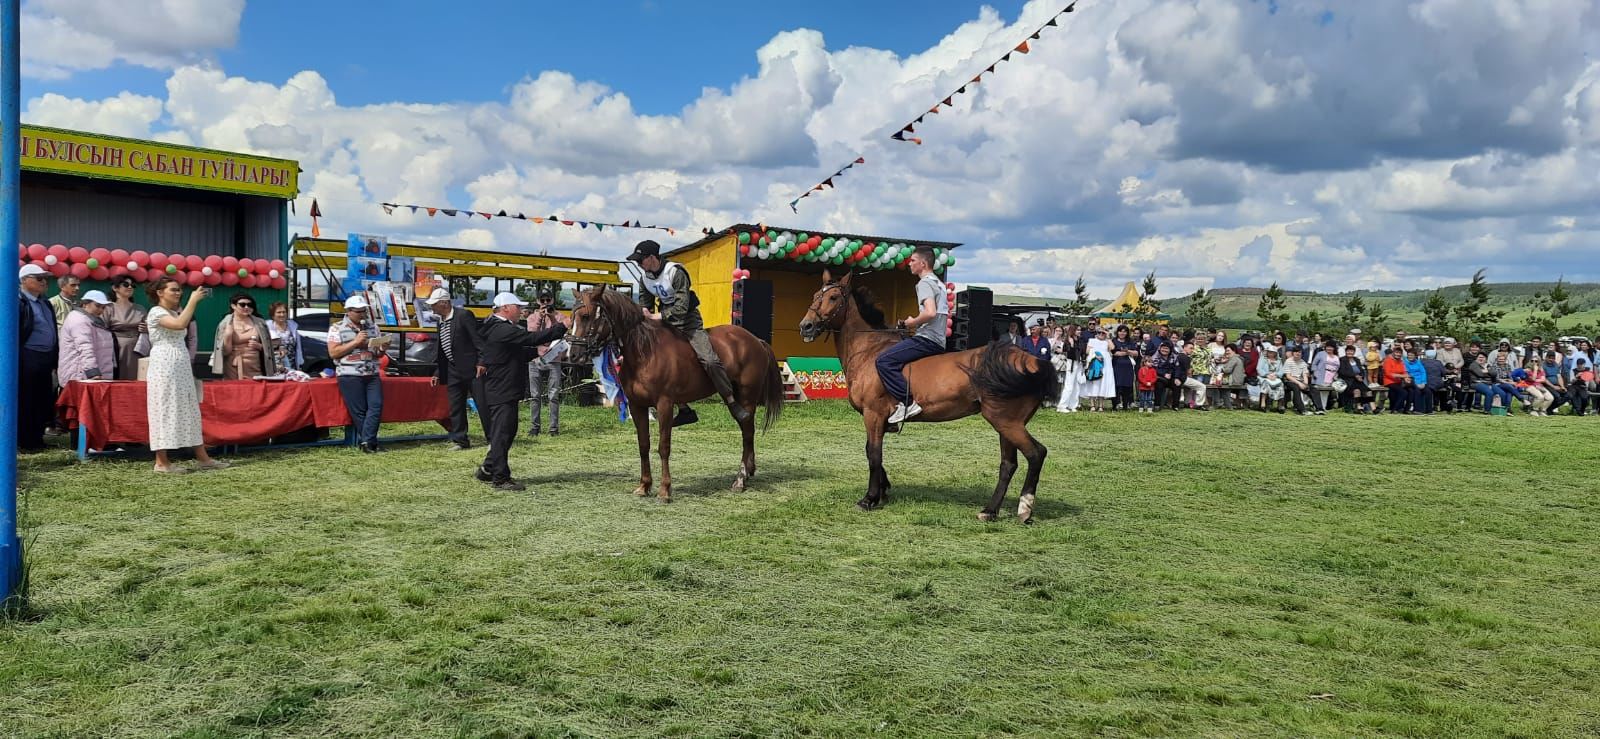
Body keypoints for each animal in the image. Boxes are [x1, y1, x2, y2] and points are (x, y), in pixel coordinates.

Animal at [566, 283, 784, 502]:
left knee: (747, 433)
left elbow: (663, 447)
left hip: (746, 398)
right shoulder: (637, 406)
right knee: (747, 432)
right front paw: (644, 486)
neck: (644, 351)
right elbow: (643, 444)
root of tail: (756, 340)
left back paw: (740, 479)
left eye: (585, 316)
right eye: (572, 316)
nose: (573, 355)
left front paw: (664, 490)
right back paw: (748, 472)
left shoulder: (664, 404)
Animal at [793, 270, 1056, 518]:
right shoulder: (877, 419)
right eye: (815, 296)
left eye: (833, 297)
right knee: (1008, 464)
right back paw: (990, 511)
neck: (869, 350)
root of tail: (1030, 360)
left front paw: (869, 498)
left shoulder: (873, 415)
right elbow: (872, 452)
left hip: (1006, 421)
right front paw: (883, 490)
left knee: (1036, 453)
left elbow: (874, 454)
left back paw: (1025, 509)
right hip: (1006, 423)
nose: (805, 326)